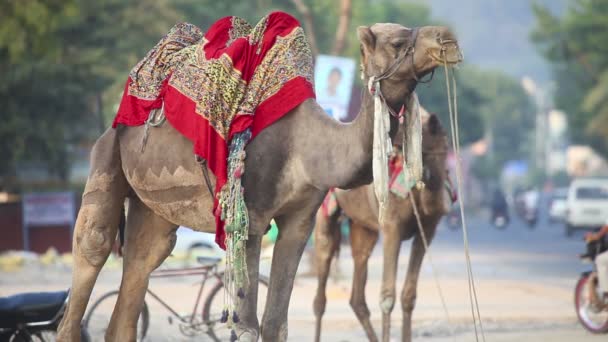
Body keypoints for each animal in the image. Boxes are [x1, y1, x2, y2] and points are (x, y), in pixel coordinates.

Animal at [314, 113, 452, 342]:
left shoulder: (428, 229)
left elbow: (409, 295)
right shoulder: (391, 227)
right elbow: (387, 296)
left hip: (363, 228)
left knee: (358, 288)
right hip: (325, 214)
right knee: (320, 295)